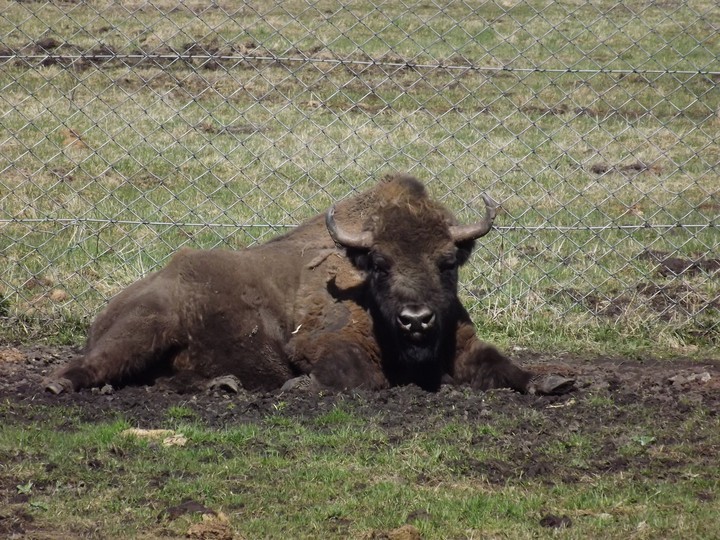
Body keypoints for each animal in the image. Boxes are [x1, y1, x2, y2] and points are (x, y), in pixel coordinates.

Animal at [45, 174, 572, 395]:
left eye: (448, 263)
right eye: (378, 263)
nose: (417, 320)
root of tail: (112, 306)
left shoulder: (463, 344)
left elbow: (502, 366)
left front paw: (552, 381)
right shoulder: (320, 345)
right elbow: (359, 378)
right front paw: (299, 387)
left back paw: (224, 384)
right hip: (142, 329)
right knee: (95, 364)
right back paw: (59, 385)